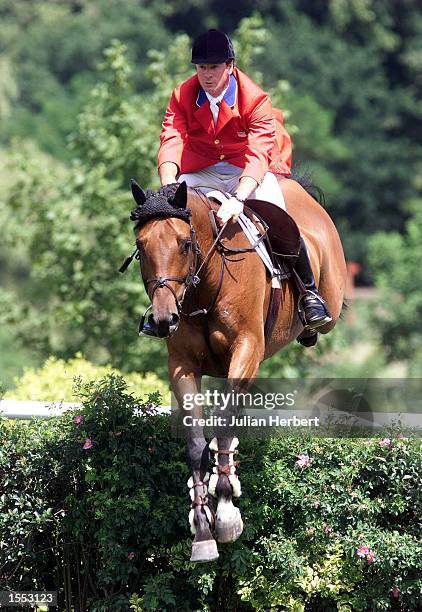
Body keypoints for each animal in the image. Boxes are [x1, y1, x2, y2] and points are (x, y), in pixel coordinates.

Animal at [125, 175, 346, 560]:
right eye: (141, 245)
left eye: (185, 244)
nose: (164, 319)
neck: (207, 282)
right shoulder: (182, 366)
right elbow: (196, 442)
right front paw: (202, 530)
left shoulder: (247, 351)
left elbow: (225, 422)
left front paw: (227, 511)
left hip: (331, 299)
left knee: (324, 315)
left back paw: (312, 317)